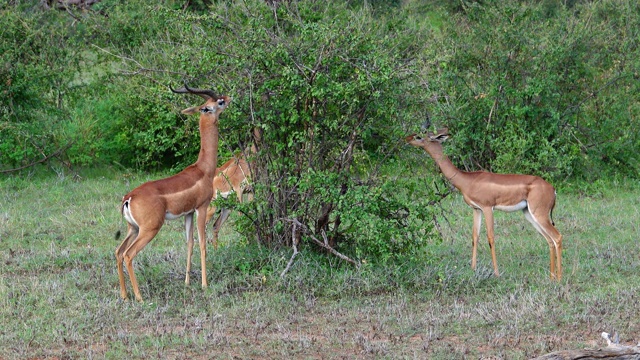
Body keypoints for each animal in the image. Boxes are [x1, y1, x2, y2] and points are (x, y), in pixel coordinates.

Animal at [115, 84, 230, 300]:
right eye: (219, 102)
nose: (229, 97)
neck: (204, 169)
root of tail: (129, 198)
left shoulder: (188, 213)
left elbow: (189, 243)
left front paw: (186, 283)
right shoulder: (202, 207)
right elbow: (202, 243)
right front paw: (204, 285)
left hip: (133, 229)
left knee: (118, 251)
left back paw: (125, 296)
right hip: (149, 230)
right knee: (128, 254)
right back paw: (140, 297)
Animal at [408, 128, 564, 280]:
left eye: (419, 136)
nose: (407, 138)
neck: (468, 180)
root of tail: (553, 189)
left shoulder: (488, 208)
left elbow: (490, 237)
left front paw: (496, 273)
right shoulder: (476, 209)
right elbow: (475, 237)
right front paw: (473, 269)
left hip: (539, 215)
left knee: (557, 237)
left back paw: (559, 279)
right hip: (530, 214)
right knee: (549, 240)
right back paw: (551, 278)